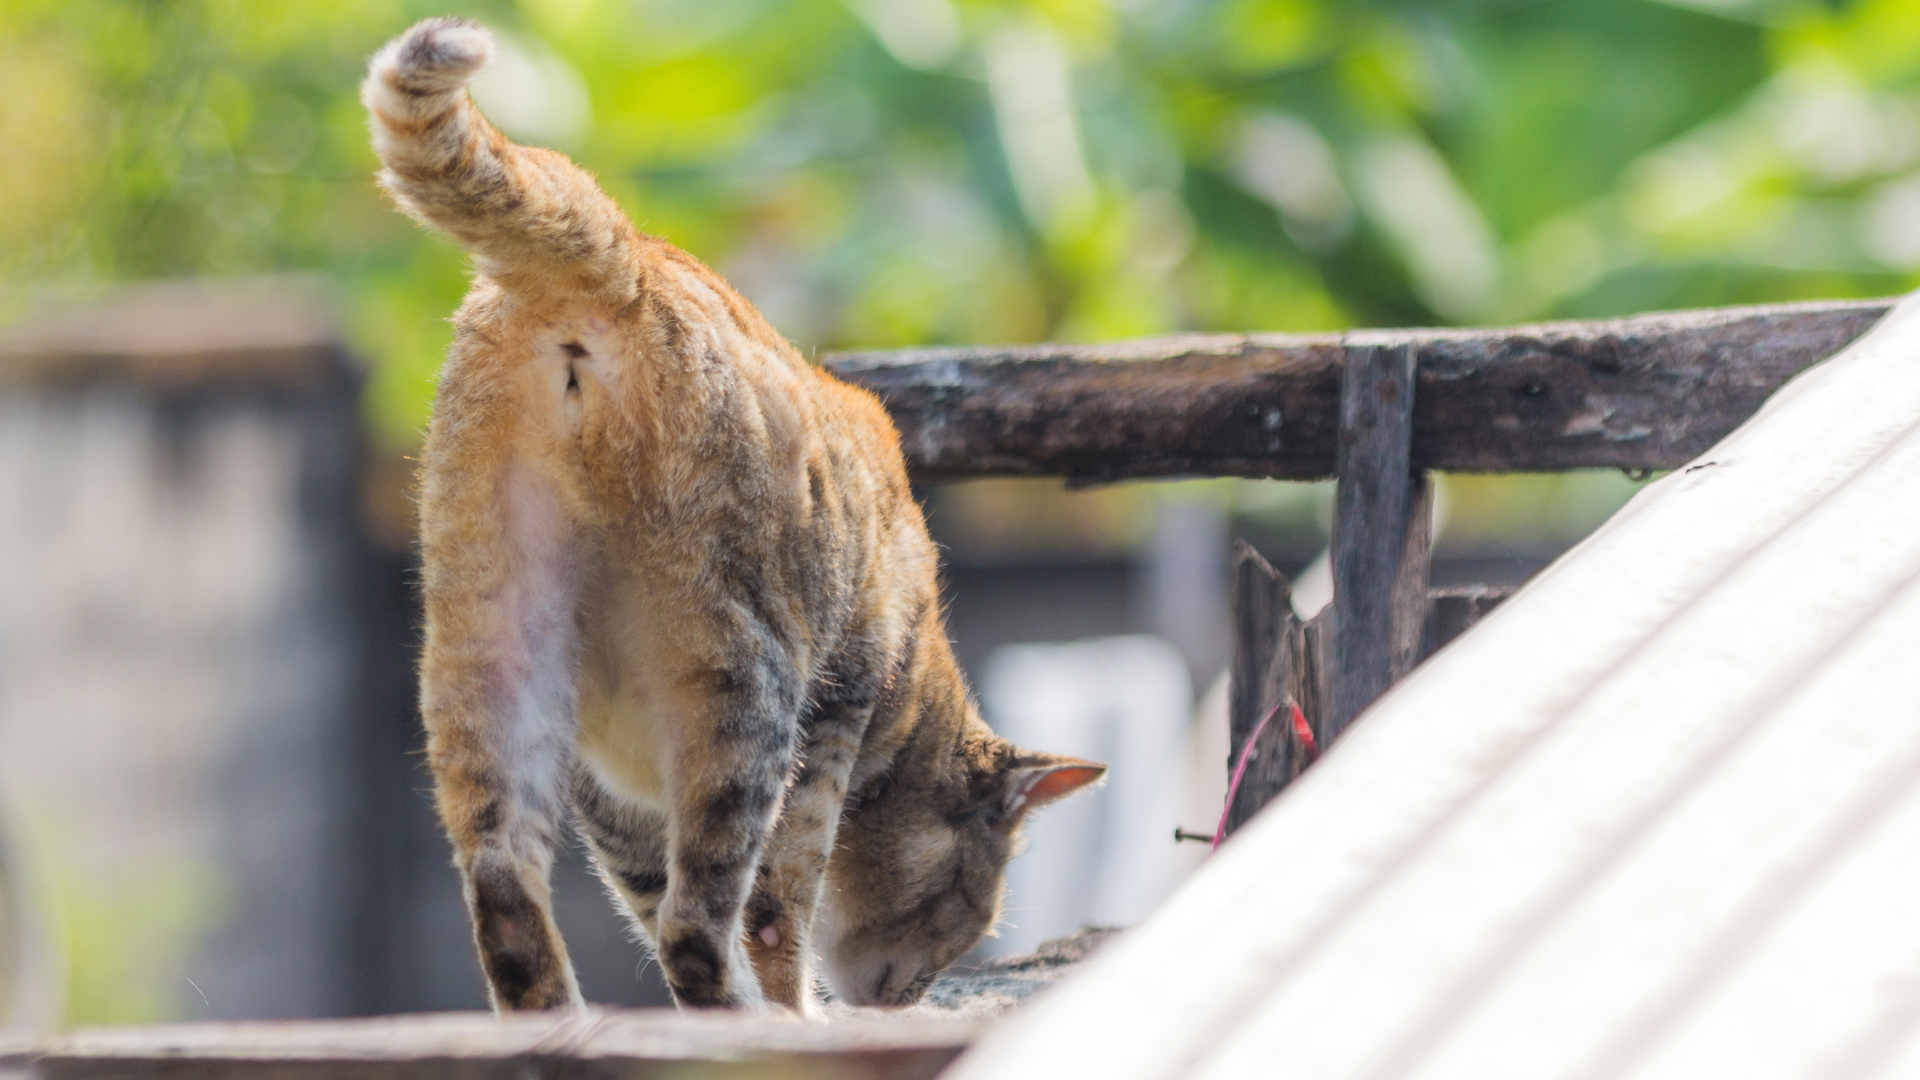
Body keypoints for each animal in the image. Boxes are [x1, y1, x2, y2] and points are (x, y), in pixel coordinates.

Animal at [364, 14, 1105, 1006]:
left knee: (509, 903)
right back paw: (761, 1022)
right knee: (697, 927)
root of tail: (627, 260)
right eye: (969, 910)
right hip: (744, 678)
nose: (908, 993)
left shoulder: (611, 796)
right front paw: (795, 1007)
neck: (914, 685)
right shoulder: (834, 715)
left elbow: (653, 893)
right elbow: (776, 909)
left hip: (485, 654)